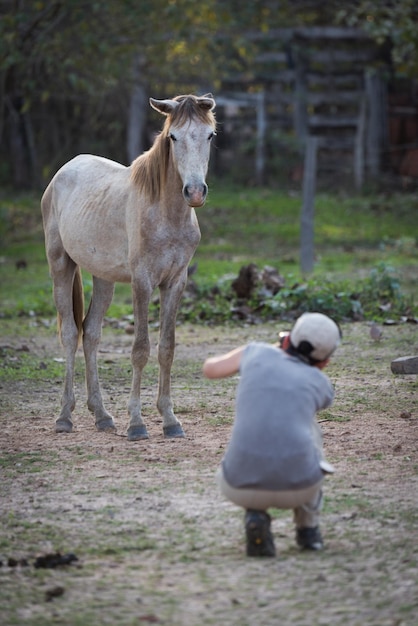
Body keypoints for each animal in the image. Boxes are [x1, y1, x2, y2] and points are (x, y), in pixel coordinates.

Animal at [41, 92, 217, 438]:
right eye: (173, 136)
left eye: (210, 135)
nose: (194, 192)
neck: (166, 214)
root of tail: (62, 172)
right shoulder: (142, 281)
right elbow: (140, 349)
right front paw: (136, 423)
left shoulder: (175, 282)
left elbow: (166, 348)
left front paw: (170, 420)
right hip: (60, 265)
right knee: (69, 333)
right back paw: (64, 417)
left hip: (103, 277)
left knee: (90, 333)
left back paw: (102, 416)